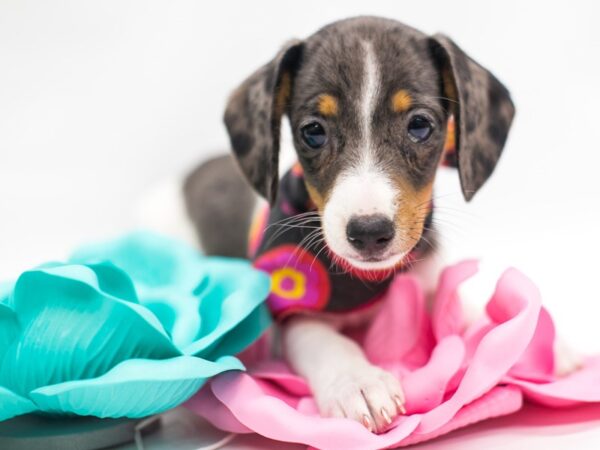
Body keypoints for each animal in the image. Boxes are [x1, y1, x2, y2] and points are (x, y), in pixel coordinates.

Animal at [184, 16, 516, 432]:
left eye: (420, 125)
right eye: (313, 131)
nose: (369, 232)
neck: (367, 282)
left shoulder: (426, 273)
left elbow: (463, 304)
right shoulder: (291, 314)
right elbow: (324, 342)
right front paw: (358, 382)